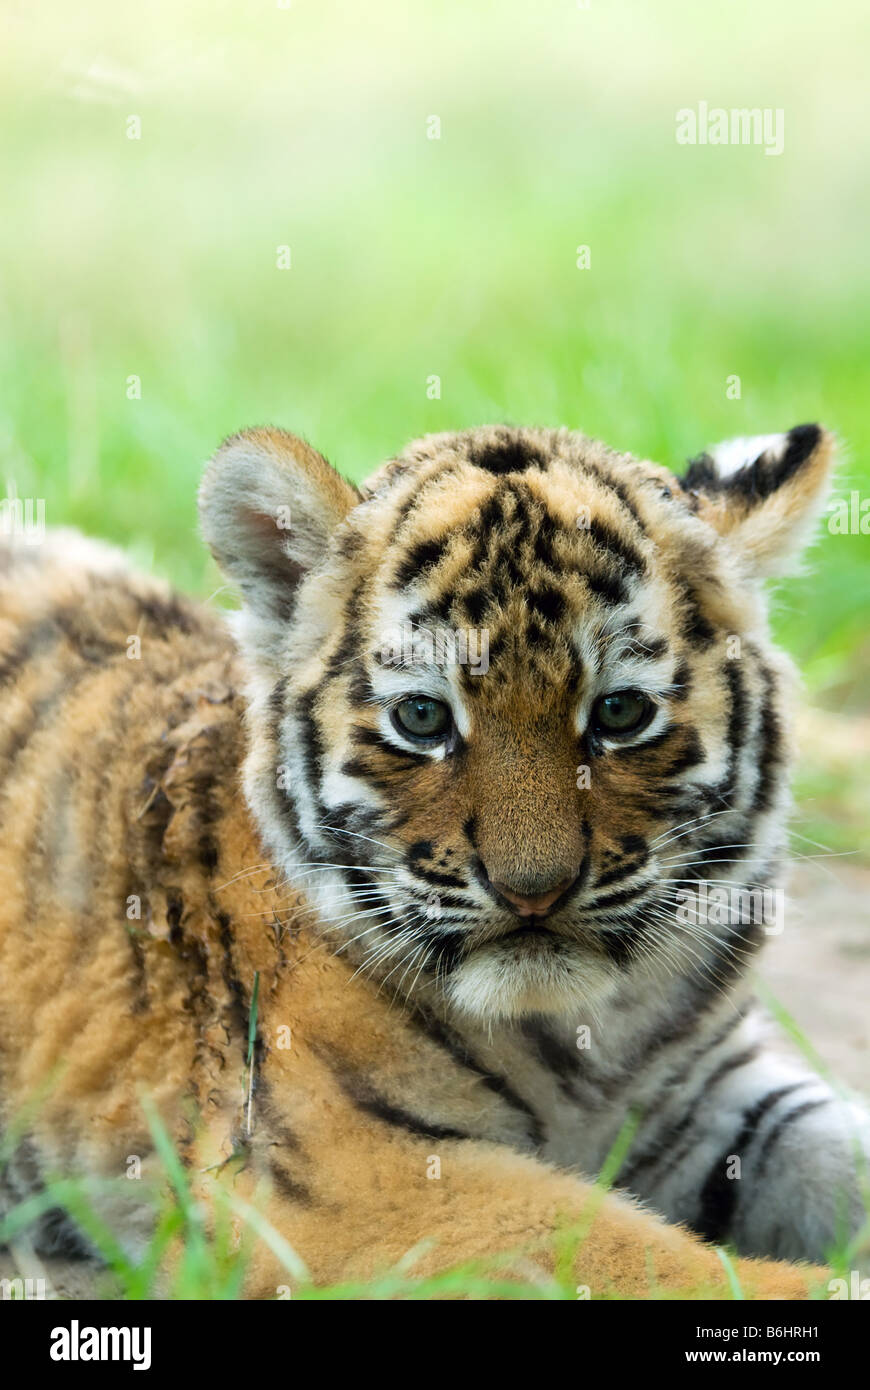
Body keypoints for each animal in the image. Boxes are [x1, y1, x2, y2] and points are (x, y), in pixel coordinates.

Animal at [0, 420, 866, 1301]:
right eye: (422, 718)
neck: (585, 1040)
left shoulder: (711, 1092)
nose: (533, 892)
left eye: (620, 712)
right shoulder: (339, 1175)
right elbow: (628, 1249)